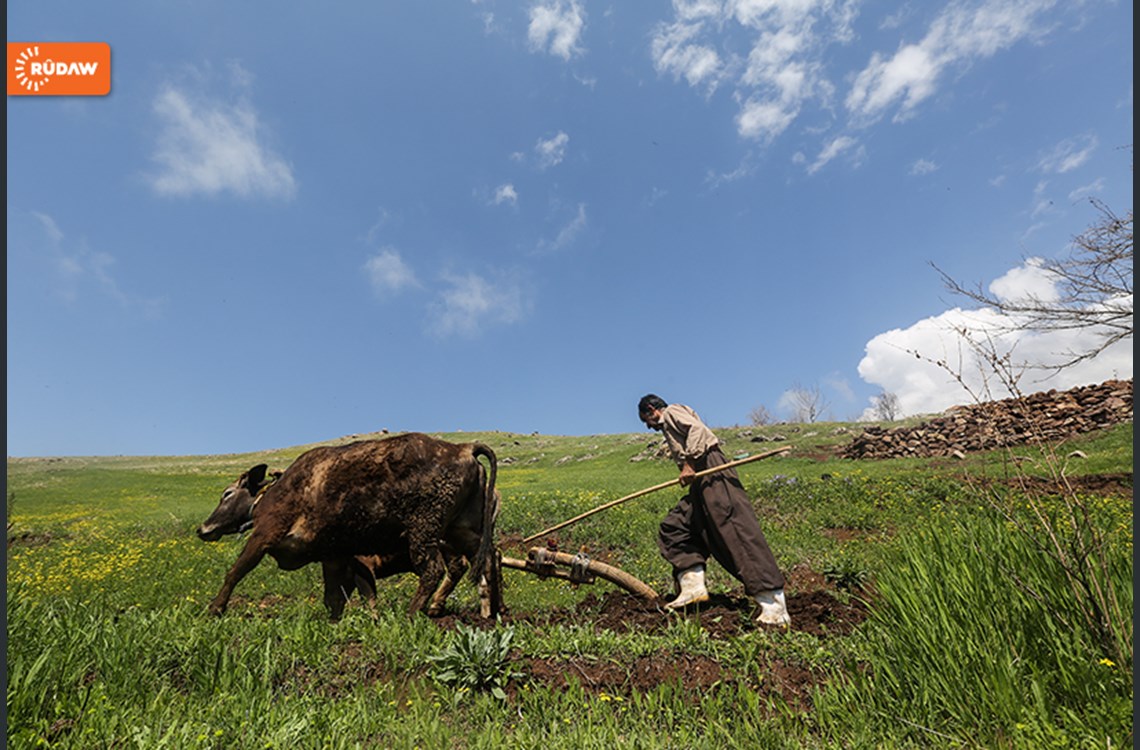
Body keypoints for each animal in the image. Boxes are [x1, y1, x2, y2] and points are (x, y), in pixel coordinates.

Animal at [196, 433, 499, 620]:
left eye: (227, 494)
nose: (203, 529)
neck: (273, 493)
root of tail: (463, 448)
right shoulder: (333, 555)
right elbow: (335, 597)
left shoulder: (263, 535)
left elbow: (235, 572)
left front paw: (214, 609)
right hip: (461, 530)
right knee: (487, 558)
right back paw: (493, 613)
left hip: (424, 530)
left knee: (435, 569)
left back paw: (412, 614)